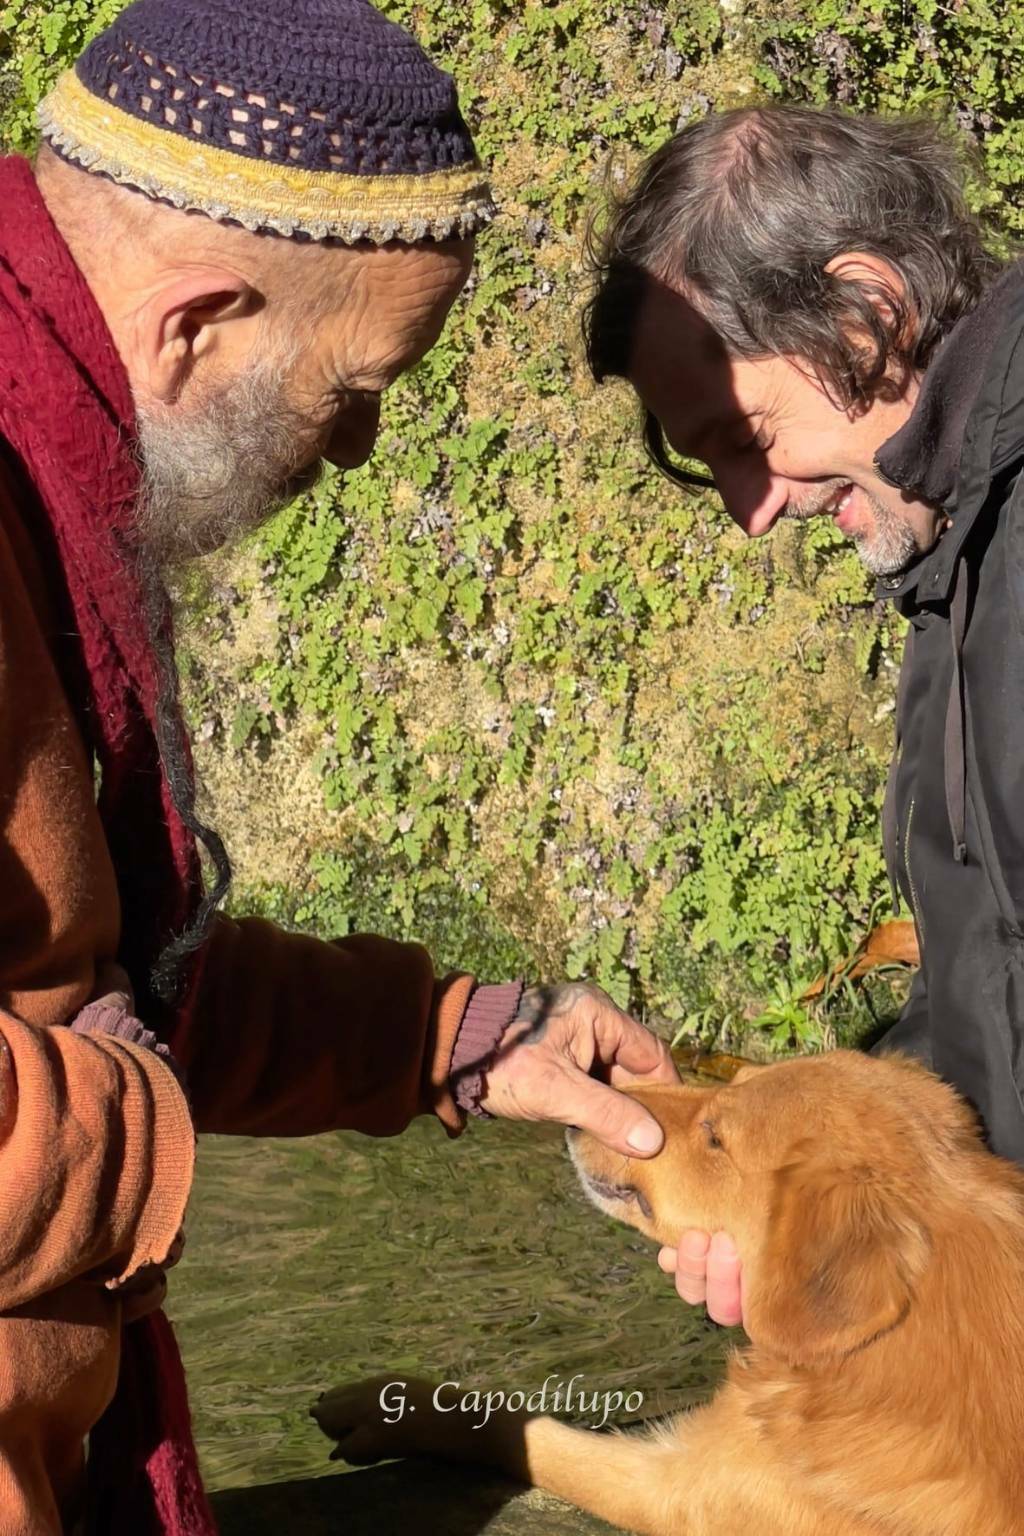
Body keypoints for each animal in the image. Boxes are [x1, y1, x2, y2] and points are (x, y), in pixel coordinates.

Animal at [313, 1056, 1024, 1536]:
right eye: (734, 1080)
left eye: (715, 1136)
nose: (584, 1102)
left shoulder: (682, 1488)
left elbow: (517, 1428)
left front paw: (388, 1406)